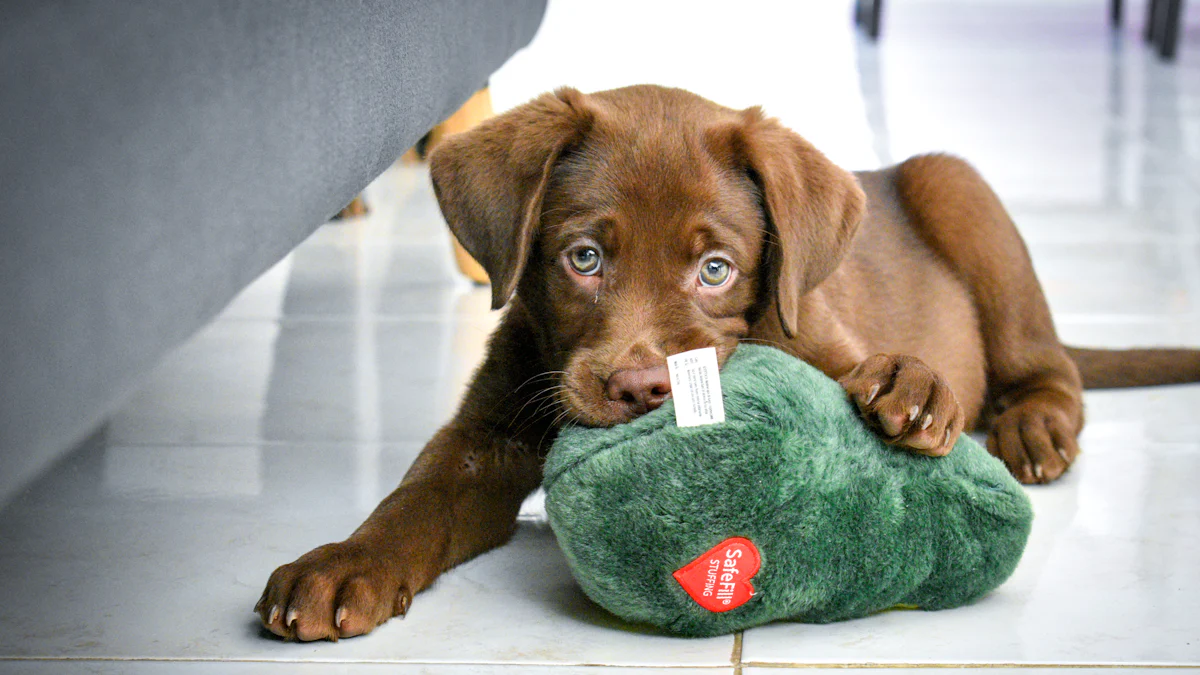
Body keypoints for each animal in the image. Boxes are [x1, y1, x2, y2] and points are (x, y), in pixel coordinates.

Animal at [255, 85, 1200, 638]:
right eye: (583, 258)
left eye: (716, 269)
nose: (639, 387)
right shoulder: (487, 431)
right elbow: (414, 501)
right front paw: (342, 564)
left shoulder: (822, 335)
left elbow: (869, 371)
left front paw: (915, 384)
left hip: (960, 190)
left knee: (1053, 367)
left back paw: (1032, 425)